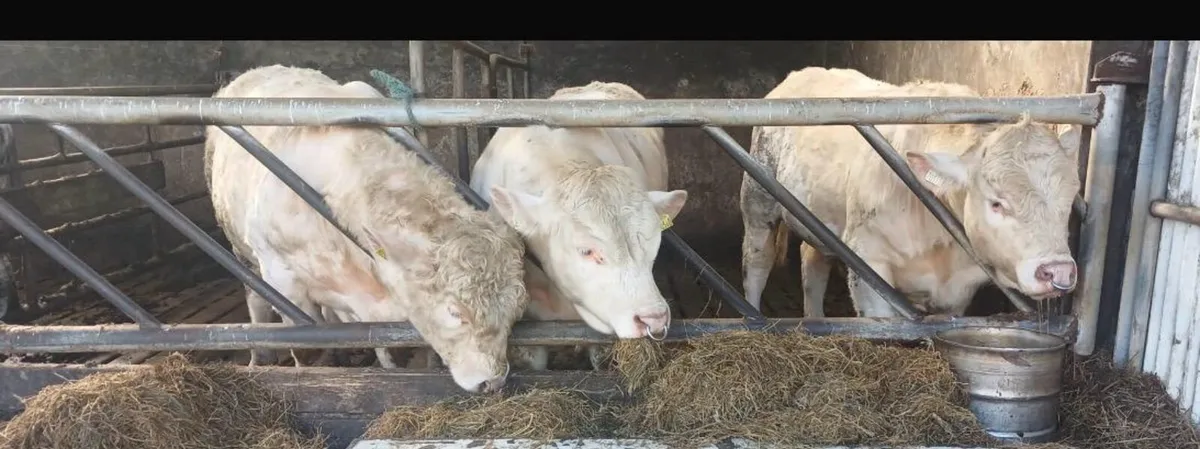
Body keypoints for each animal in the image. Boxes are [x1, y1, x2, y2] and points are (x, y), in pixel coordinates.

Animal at [204, 64, 530, 393]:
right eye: (455, 312)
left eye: (516, 311)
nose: (492, 381)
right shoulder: (280, 277)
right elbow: (307, 349)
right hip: (242, 250)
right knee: (255, 299)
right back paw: (261, 356)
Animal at [740, 67, 1082, 318]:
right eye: (997, 203)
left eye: (1068, 204)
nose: (1058, 272)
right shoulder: (868, 263)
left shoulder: (959, 293)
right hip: (758, 199)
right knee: (757, 261)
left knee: (813, 265)